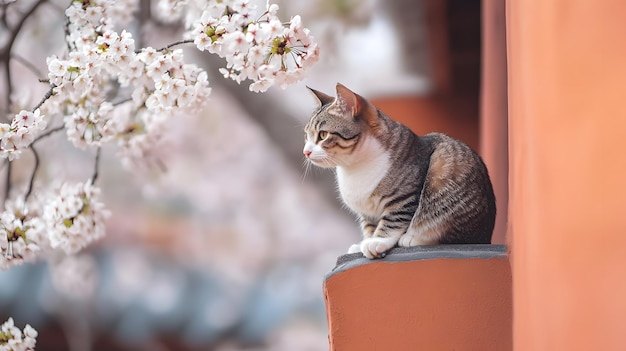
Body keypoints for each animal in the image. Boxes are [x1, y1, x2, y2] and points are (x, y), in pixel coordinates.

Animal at [300, 84, 494, 260]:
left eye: (323, 135)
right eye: (306, 136)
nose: (306, 152)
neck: (353, 168)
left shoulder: (405, 196)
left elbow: (393, 219)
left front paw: (376, 241)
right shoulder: (367, 213)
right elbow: (369, 227)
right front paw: (364, 242)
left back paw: (412, 238)